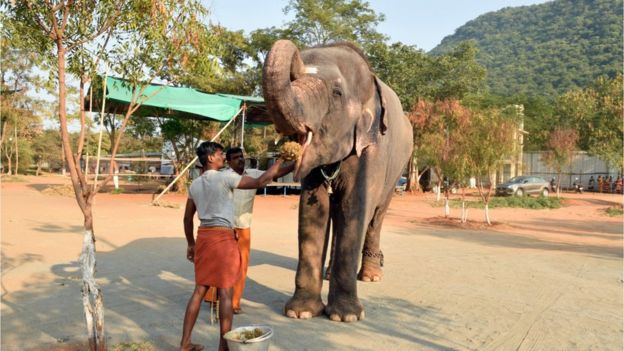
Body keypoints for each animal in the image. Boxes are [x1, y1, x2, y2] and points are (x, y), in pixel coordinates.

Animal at [264, 40, 414, 324]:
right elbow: (314, 211)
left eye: (336, 93)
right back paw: (329, 273)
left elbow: (354, 207)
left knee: (376, 217)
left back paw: (370, 275)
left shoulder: (373, 150)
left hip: (398, 168)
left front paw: (345, 316)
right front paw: (301, 312)